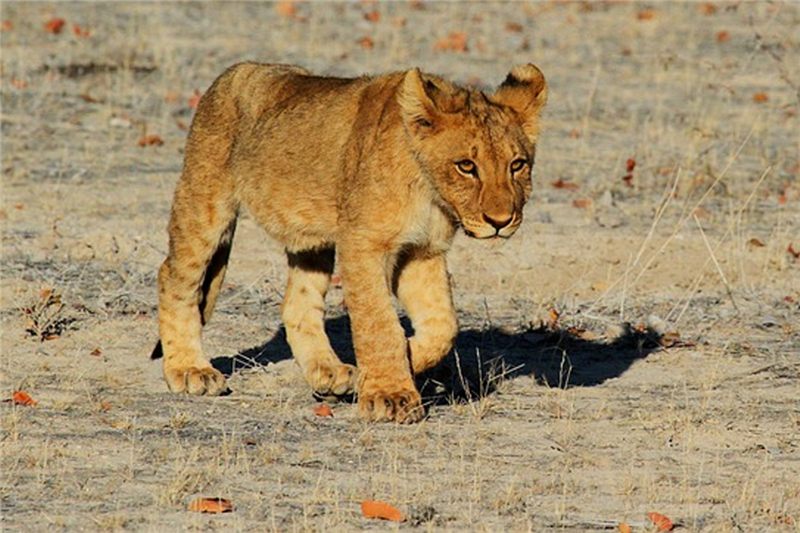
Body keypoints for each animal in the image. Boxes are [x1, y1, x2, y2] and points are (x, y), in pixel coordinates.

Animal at [151, 62, 547, 423]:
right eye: (466, 166)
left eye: (517, 165)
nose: (501, 221)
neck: (430, 193)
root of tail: (231, 73)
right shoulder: (363, 243)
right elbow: (378, 321)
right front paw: (390, 395)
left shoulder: (422, 251)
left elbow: (442, 325)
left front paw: (397, 363)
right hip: (205, 203)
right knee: (174, 276)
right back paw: (189, 370)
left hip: (312, 241)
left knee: (298, 304)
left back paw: (329, 373)